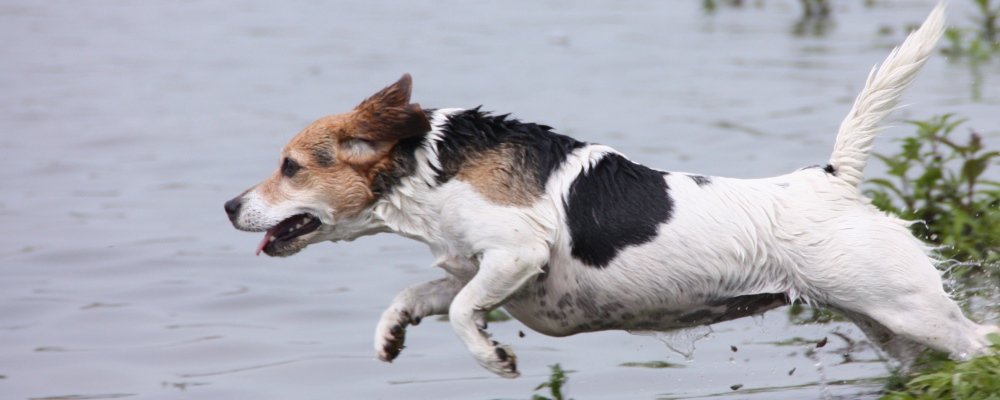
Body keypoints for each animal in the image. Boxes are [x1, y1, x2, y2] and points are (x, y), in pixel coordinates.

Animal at [223, 3, 996, 378]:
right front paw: (390, 336)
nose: (228, 206)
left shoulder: (514, 256)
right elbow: (418, 294)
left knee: (981, 342)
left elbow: (465, 313)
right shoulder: (479, 267)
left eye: (290, 166)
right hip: (888, 328)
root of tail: (830, 181)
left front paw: (495, 359)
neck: (430, 164)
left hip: (909, 310)